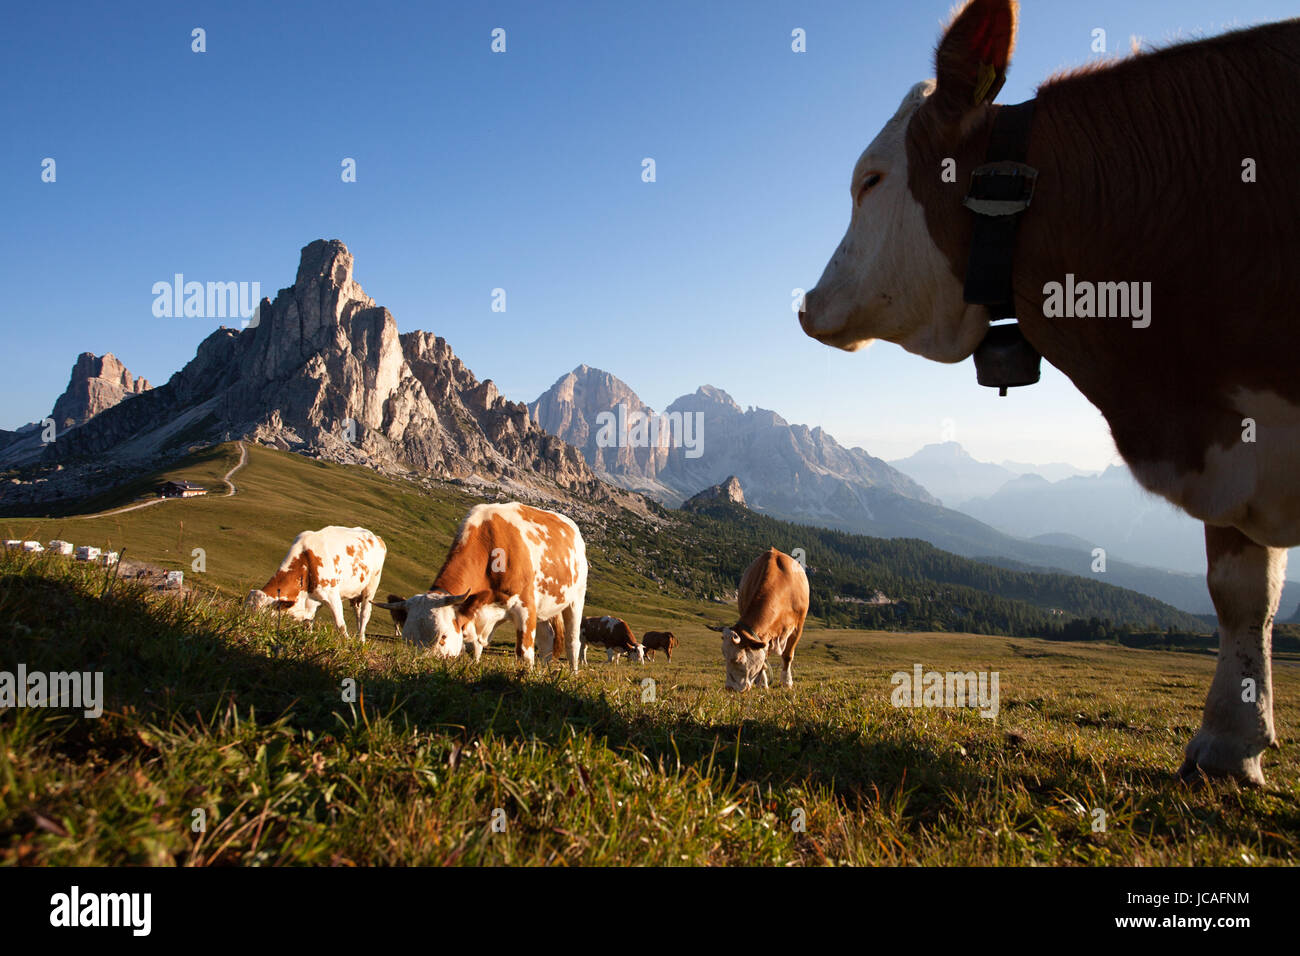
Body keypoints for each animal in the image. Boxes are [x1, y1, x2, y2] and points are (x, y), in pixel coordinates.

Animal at [244, 527, 385, 641]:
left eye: (261, 614)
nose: (248, 627)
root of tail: (376, 537)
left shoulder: (332, 595)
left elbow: (341, 626)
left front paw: (347, 644)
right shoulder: (312, 601)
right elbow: (308, 624)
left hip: (371, 586)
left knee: (364, 614)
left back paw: (361, 641)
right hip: (355, 592)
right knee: (357, 613)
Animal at [375, 502, 587, 669]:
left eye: (443, 637)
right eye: (407, 640)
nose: (420, 664)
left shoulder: (525, 606)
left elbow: (524, 653)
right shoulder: (473, 614)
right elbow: (473, 650)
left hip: (576, 599)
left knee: (572, 643)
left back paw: (572, 673)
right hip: (544, 607)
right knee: (547, 642)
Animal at [709, 549, 808, 692]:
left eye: (738, 659)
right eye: (724, 655)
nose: (729, 688)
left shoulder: (798, 627)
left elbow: (788, 655)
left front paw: (787, 682)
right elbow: (763, 657)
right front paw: (762, 683)